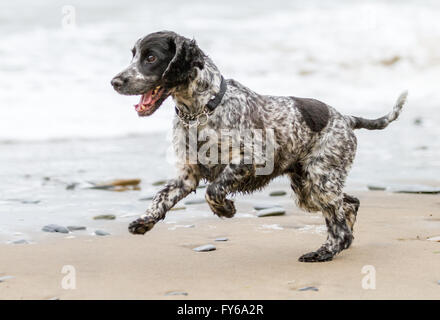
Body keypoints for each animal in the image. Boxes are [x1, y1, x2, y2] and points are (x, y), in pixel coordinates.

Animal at [111, 30, 408, 262]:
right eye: (133, 55)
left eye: (151, 58)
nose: (115, 82)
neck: (201, 111)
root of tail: (346, 119)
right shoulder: (187, 174)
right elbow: (162, 197)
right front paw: (144, 222)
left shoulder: (250, 159)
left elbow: (214, 190)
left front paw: (225, 209)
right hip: (308, 189)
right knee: (349, 204)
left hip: (320, 181)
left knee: (340, 227)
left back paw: (323, 252)